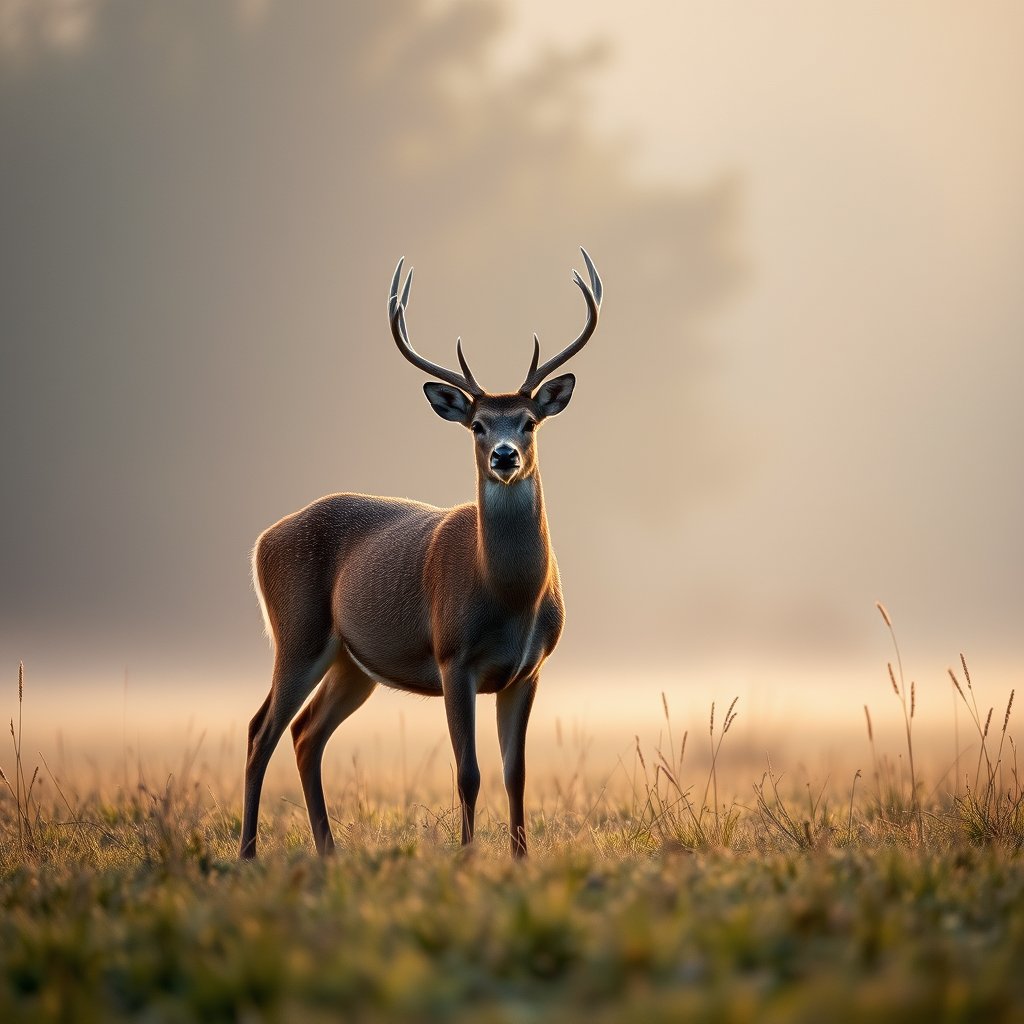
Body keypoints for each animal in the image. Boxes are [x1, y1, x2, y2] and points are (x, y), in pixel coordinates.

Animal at [239, 247, 603, 860]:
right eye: (477, 425)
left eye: (529, 421)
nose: (505, 456)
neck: (509, 596)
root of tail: (261, 541)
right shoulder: (453, 655)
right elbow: (468, 771)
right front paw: (467, 855)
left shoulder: (529, 669)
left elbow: (516, 772)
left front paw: (520, 858)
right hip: (298, 631)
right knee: (261, 728)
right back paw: (247, 852)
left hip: (351, 663)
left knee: (306, 732)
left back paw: (328, 849)